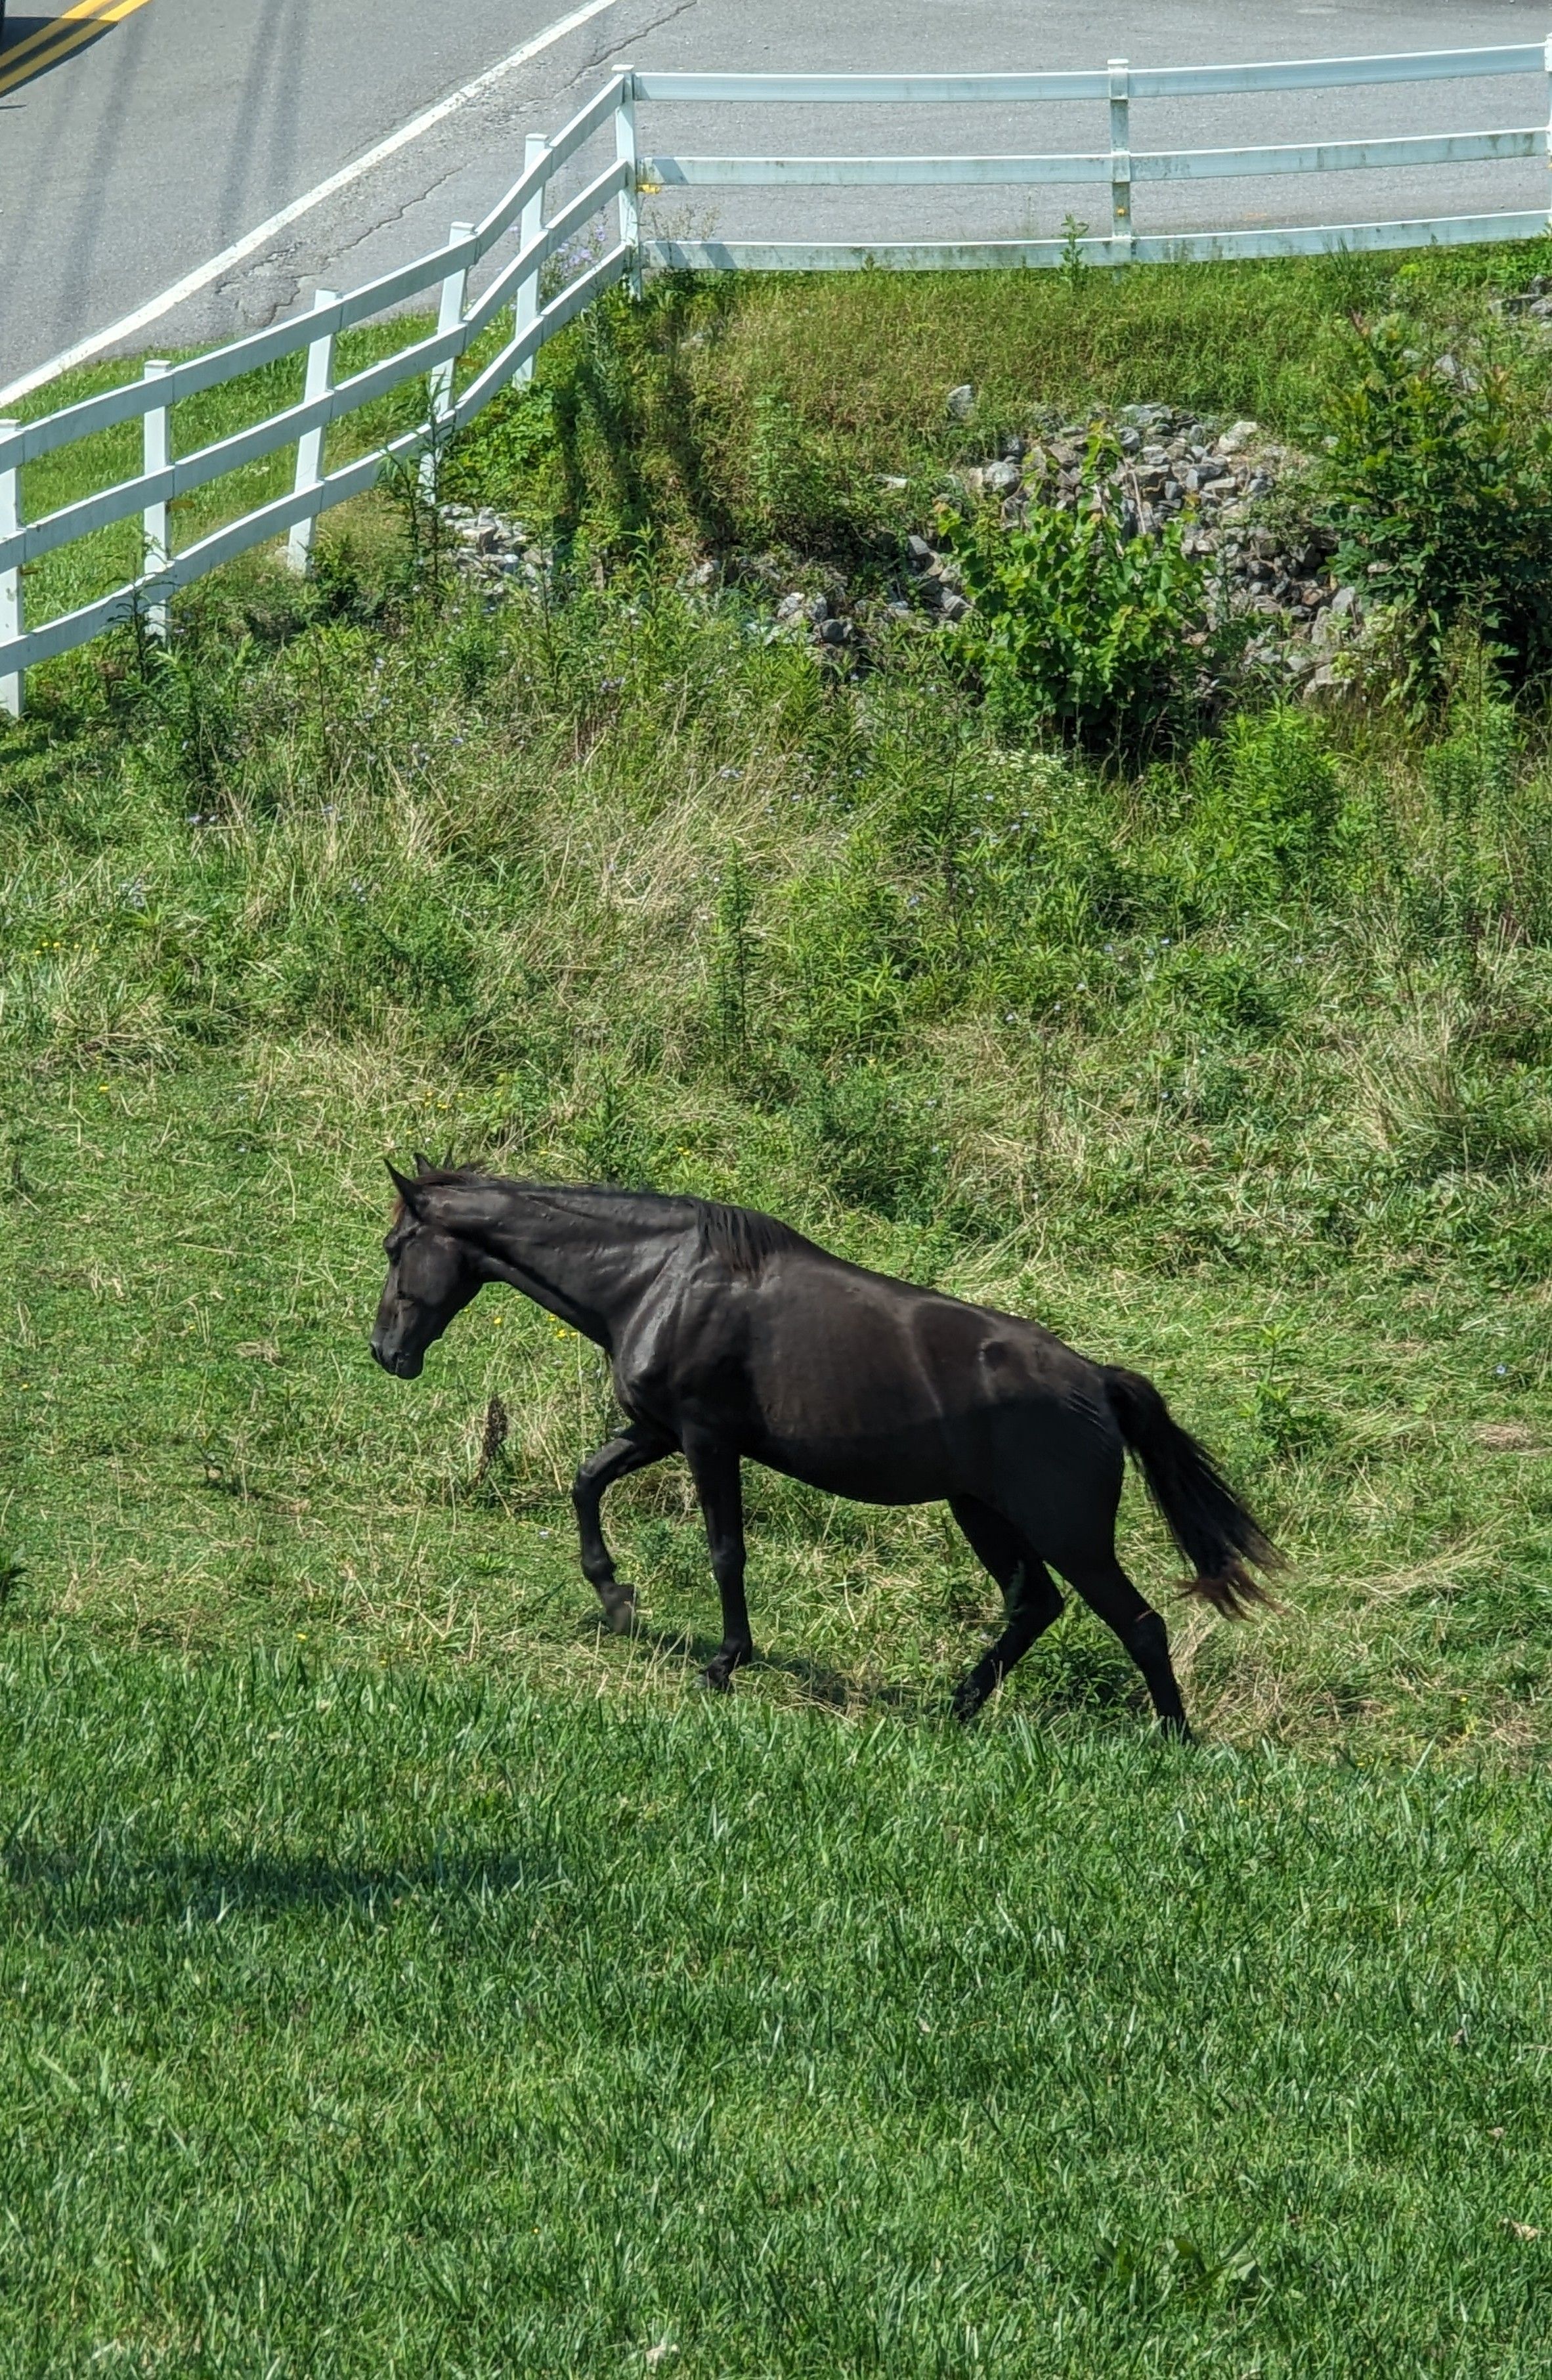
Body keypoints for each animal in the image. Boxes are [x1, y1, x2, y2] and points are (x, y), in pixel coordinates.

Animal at [370, 1160, 1280, 1734]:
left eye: (394, 1247)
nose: (386, 1352)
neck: (654, 1279)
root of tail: (1096, 1381)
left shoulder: (705, 1439)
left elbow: (725, 1551)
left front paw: (724, 1662)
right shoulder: (659, 1431)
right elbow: (587, 1479)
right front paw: (615, 1595)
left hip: (1070, 1533)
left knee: (1140, 1624)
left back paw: (1172, 1742)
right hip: (984, 1513)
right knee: (1035, 1607)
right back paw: (956, 1706)